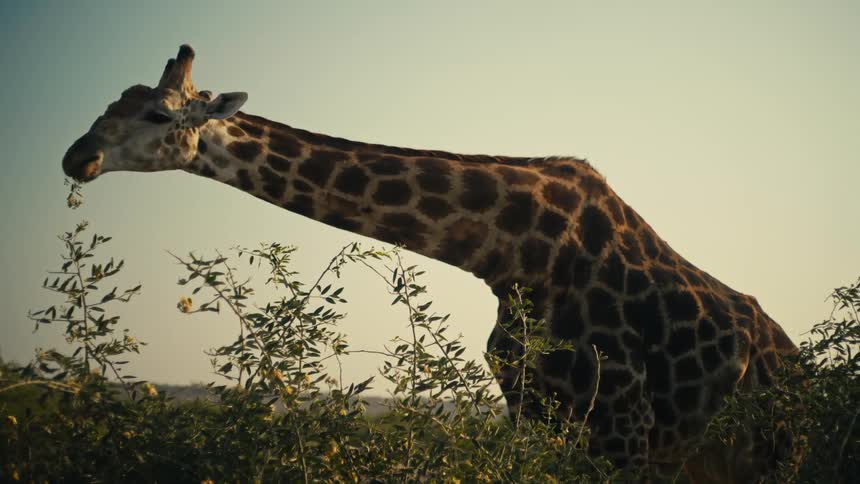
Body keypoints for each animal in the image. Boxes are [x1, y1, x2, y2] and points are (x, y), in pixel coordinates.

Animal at [61, 45, 799, 482]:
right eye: (110, 103)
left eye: (159, 114)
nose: (77, 156)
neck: (513, 252)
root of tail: (794, 359)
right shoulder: (535, 413)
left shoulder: (625, 428)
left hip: (767, 451)